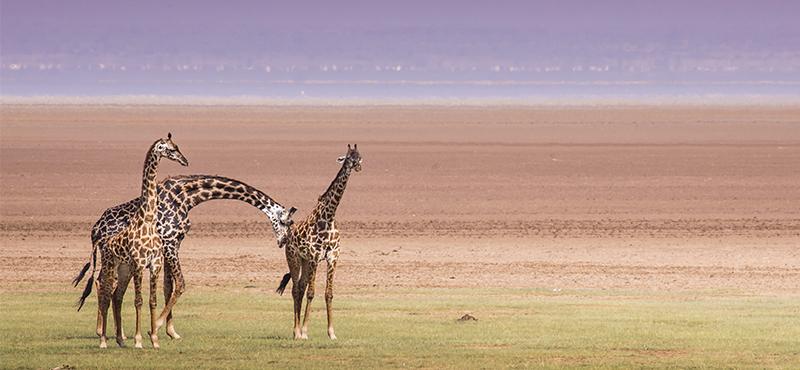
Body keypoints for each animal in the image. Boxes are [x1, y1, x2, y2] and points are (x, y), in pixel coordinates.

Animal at [76, 174, 296, 342]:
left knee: (102, 282)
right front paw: (155, 327)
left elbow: (168, 286)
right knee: (104, 283)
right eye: (285, 222)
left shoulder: (174, 243)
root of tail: (95, 230)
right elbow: (181, 284)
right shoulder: (169, 242)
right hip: (115, 258)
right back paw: (107, 331)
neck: (186, 196)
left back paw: (111, 332)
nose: (283, 241)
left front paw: (171, 331)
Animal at [79, 134, 190, 348]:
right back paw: (104, 340)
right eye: (171, 149)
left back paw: (121, 341)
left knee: (116, 295)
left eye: (177, 146)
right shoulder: (139, 264)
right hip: (110, 267)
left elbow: (152, 300)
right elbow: (138, 300)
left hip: (124, 270)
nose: (185, 161)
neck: (148, 220)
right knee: (105, 294)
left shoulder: (155, 264)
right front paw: (139, 341)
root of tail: (102, 240)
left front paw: (154, 339)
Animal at [276, 143, 360, 340]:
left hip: (305, 261)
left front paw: (331, 333)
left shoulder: (333, 257)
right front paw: (305, 332)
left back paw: (298, 331)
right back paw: (296, 332)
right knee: (296, 290)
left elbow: (329, 293)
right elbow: (311, 293)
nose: (356, 166)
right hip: (294, 258)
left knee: (300, 287)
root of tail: (289, 232)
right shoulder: (315, 256)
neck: (329, 216)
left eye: (359, 156)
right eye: (347, 157)